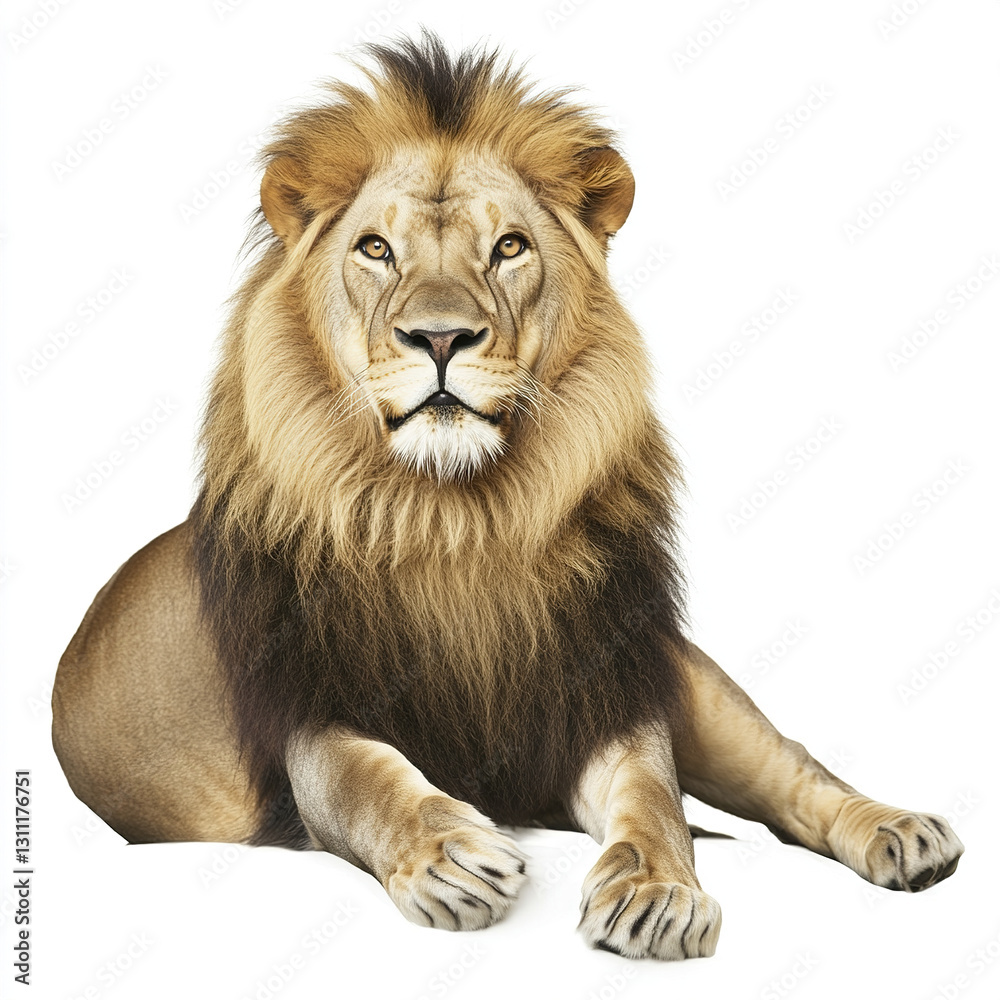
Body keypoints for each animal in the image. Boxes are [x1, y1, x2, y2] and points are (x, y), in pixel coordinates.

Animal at [51, 35, 963, 960]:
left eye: (510, 248)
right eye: (375, 250)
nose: (440, 336)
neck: (457, 516)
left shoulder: (604, 688)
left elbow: (655, 798)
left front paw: (657, 891)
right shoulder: (314, 715)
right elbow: (369, 781)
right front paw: (451, 855)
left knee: (792, 768)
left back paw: (899, 832)